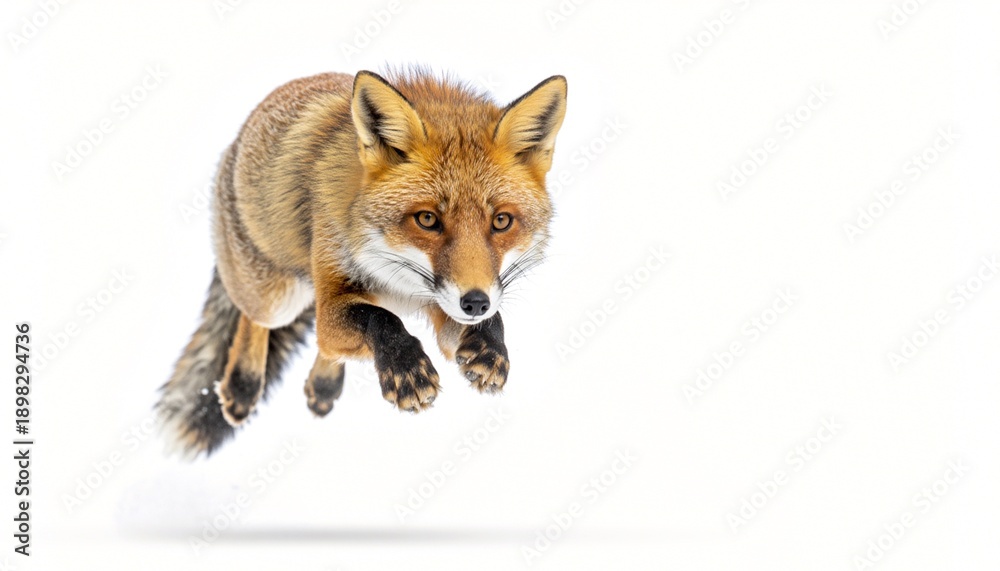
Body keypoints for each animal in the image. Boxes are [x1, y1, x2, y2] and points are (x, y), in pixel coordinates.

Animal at [156, 68, 567, 456]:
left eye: (501, 221)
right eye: (427, 219)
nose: (475, 302)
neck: (397, 279)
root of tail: (237, 139)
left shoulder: (439, 303)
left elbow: (487, 321)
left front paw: (490, 348)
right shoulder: (340, 296)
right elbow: (379, 319)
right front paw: (405, 368)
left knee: (326, 346)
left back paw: (322, 386)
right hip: (277, 297)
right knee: (253, 319)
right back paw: (242, 387)